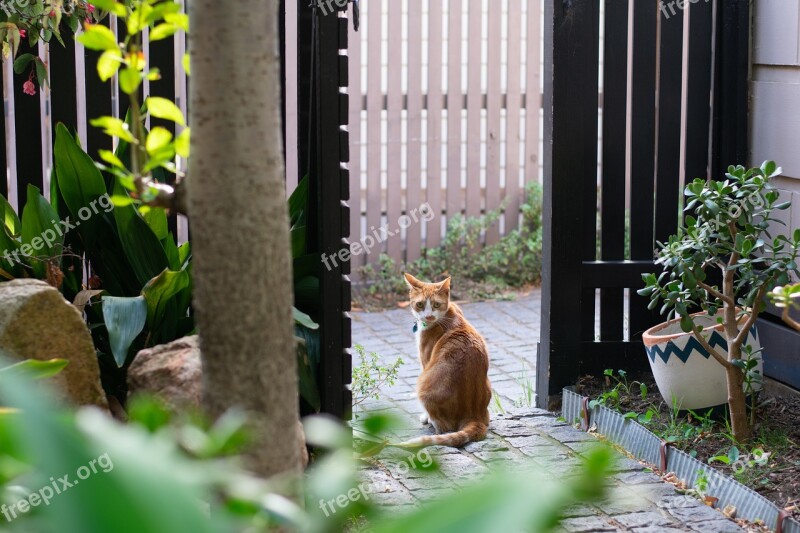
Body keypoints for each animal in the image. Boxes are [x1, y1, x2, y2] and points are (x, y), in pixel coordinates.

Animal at [404, 272, 490, 446]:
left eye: (436, 304)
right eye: (420, 304)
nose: (429, 316)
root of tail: (474, 415)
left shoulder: (425, 362)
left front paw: (425, 417)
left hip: (423, 383)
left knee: (444, 428)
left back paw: (431, 421)